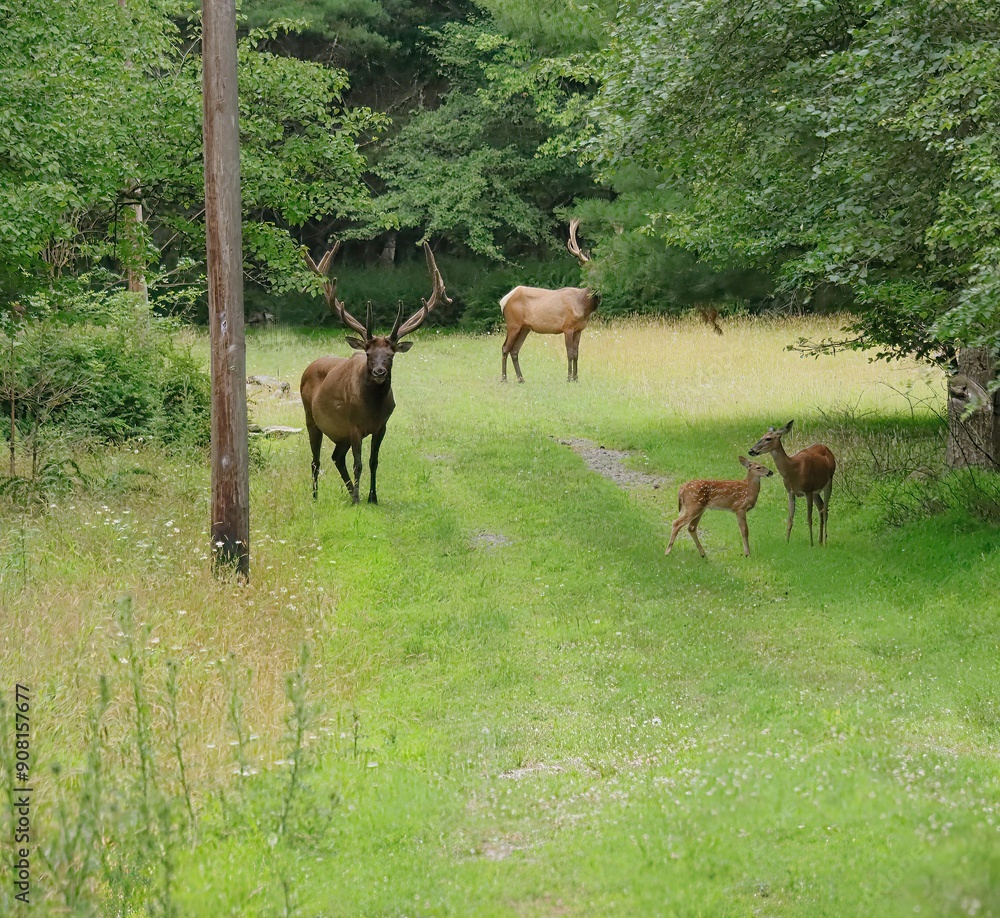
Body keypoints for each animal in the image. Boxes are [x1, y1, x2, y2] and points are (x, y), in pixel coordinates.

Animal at [300, 241, 450, 505]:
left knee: (336, 457)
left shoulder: (382, 426)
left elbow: (373, 462)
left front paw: (372, 497)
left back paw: (350, 491)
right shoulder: (353, 425)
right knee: (316, 460)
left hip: (340, 434)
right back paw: (317, 497)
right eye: (368, 354)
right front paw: (358, 499)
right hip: (311, 417)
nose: (379, 372)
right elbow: (358, 463)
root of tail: (309, 367)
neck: (371, 409)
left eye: (391, 355)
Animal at [500, 219, 598, 383]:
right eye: (588, 270)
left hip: (524, 327)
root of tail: (503, 300)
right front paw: (569, 378)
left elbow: (576, 354)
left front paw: (576, 377)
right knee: (505, 347)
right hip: (513, 323)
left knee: (514, 350)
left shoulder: (579, 329)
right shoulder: (567, 327)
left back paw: (521, 378)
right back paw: (504, 378)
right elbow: (570, 353)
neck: (583, 306)